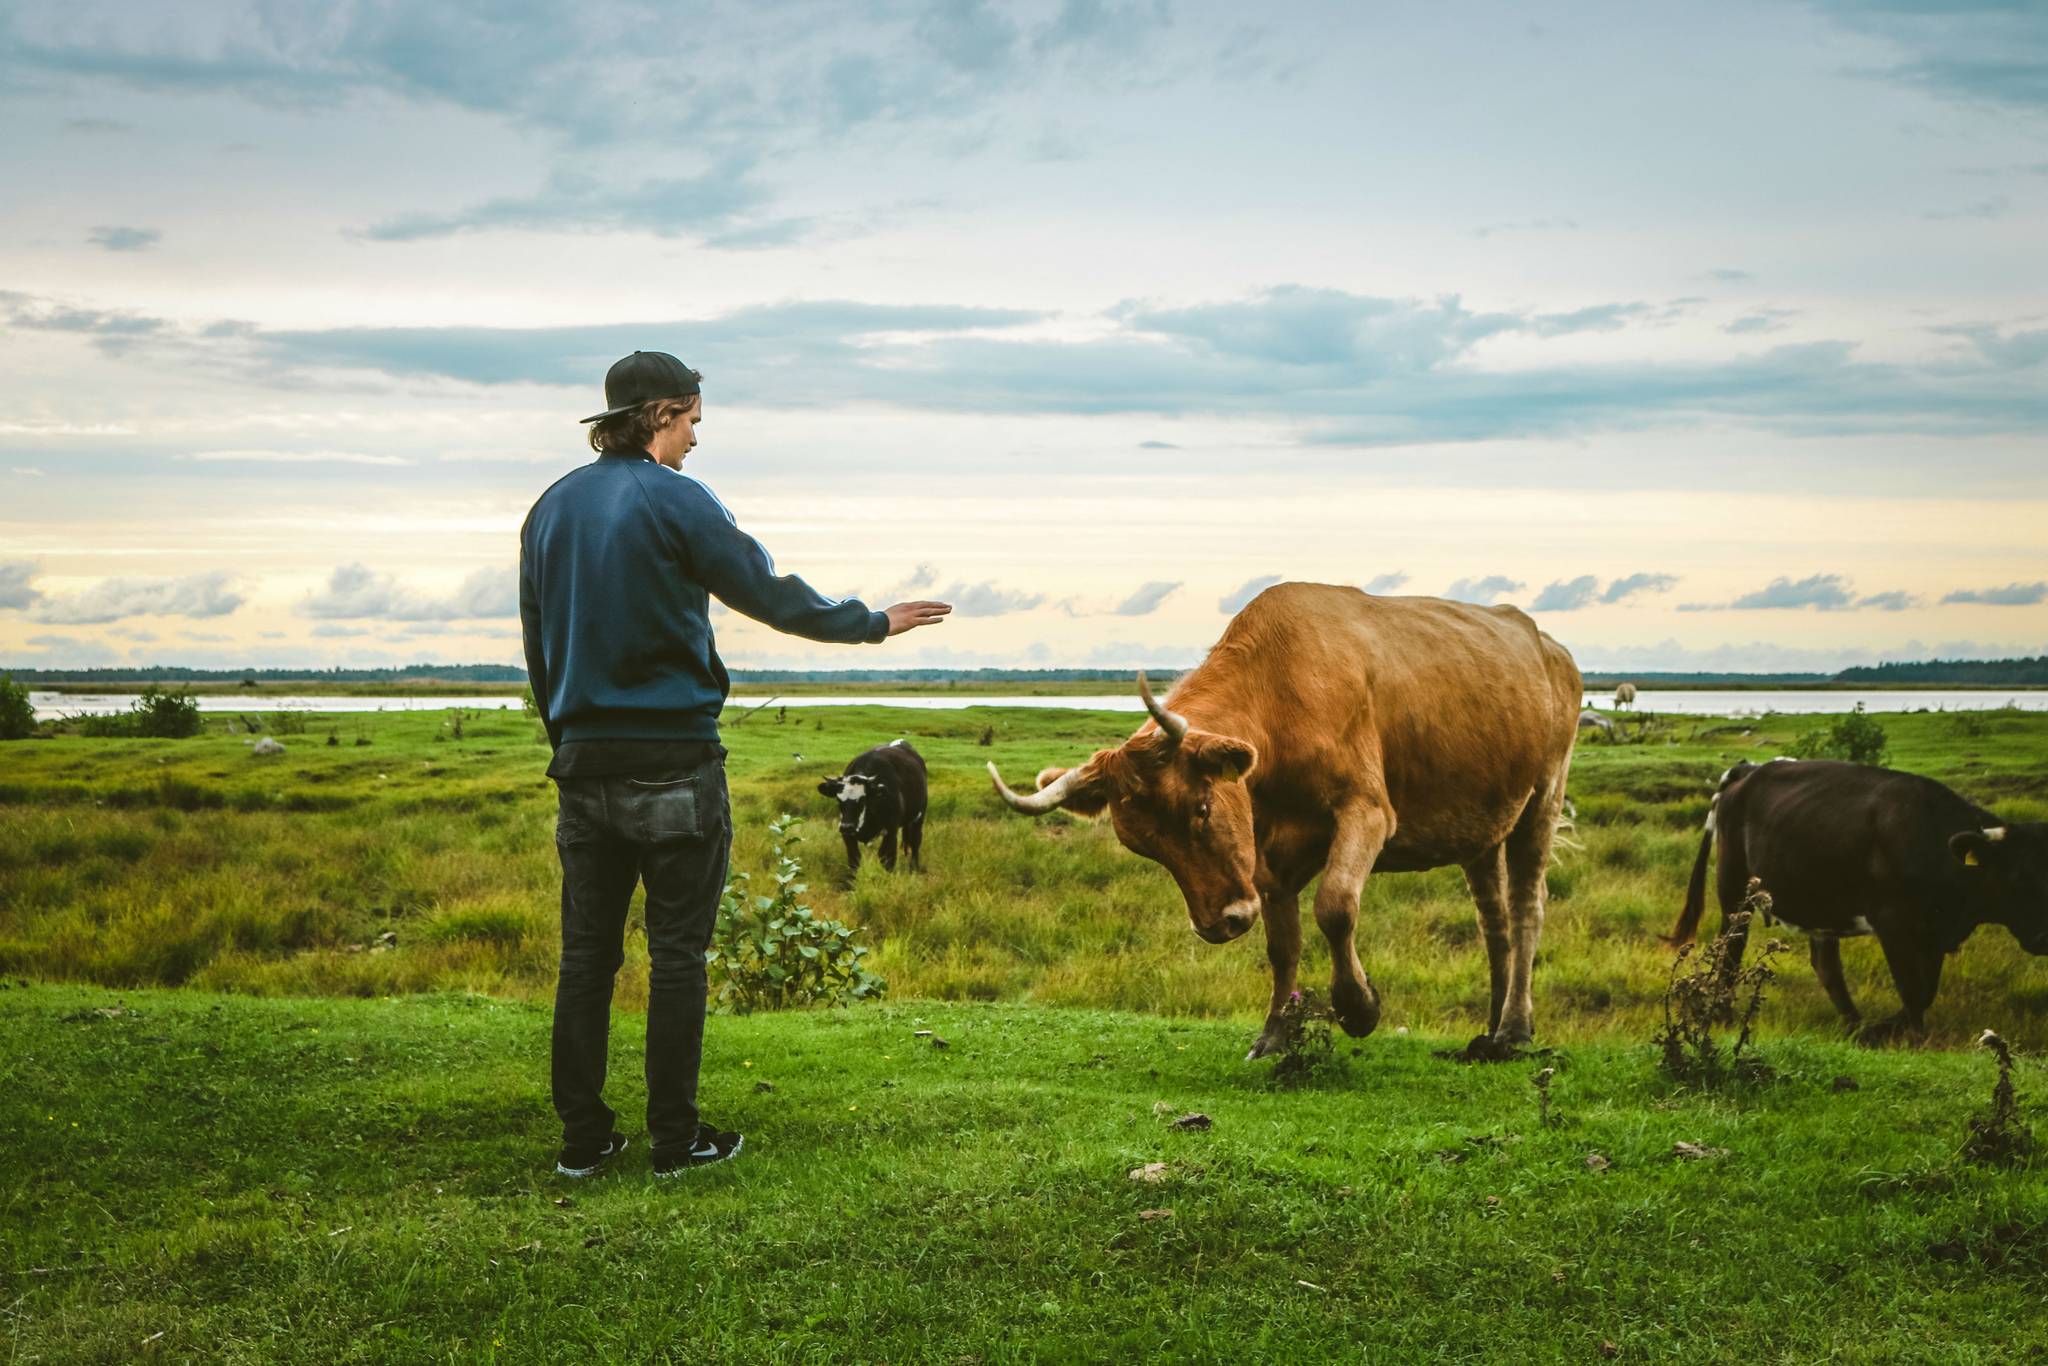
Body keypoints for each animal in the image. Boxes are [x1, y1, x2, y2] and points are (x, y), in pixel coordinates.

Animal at [815, 741, 929, 872]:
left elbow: (887, 859)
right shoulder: (847, 834)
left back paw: (914, 868)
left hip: (919, 817)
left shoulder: (891, 830)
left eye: (863, 799)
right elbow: (854, 859)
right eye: (838, 800)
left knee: (916, 842)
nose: (847, 827)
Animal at [991, 581, 1581, 1064]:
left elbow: (1335, 906)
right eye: (1146, 847)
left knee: (1526, 908)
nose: (1220, 923)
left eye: (1200, 809)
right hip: (1481, 826)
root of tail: (1549, 646)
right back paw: (1491, 1028)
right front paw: (1274, 1033)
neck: (1281, 700)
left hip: (1542, 799)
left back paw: (1515, 1029)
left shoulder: (1368, 811)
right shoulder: (1266, 854)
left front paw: (1359, 1007)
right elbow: (1283, 944)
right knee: (1493, 918)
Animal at [1662, 757, 2048, 1036]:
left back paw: (1853, 1023)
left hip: (1818, 902)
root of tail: (1749, 770)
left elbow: (1926, 990)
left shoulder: (1933, 933)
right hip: (1734, 887)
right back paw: (1724, 1014)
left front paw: (1889, 1026)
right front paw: (1909, 1035)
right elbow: (1912, 989)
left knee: (1825, 964)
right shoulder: (1893, 922)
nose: (2043, 938)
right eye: (2018, 878)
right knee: (1732, 947)